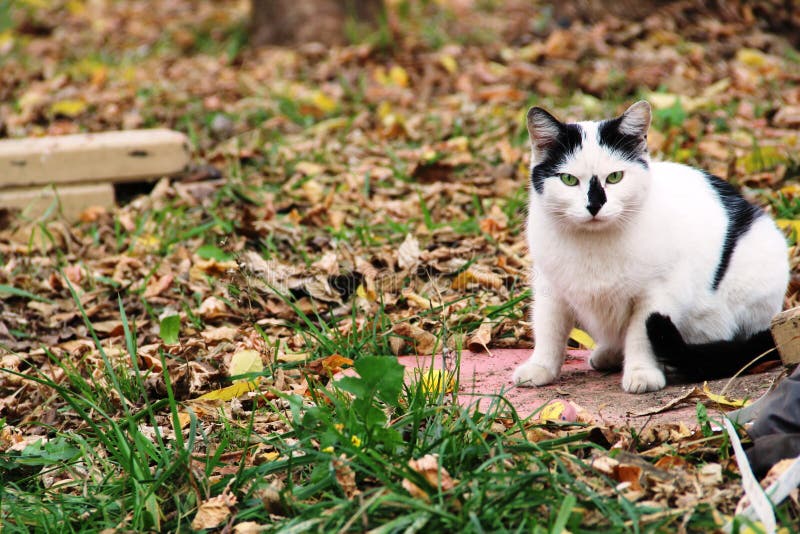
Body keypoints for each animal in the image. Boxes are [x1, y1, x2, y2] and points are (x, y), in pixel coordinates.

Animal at [512, 101, 788, 394]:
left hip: (760, 261)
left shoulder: (657, 293)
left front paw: (642, 372)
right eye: (568, 180)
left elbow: (640, 334)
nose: (594, 205)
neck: (593, 244)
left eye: (615, 177)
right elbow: (548, 329)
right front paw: (540, 367)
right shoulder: (549, 288)